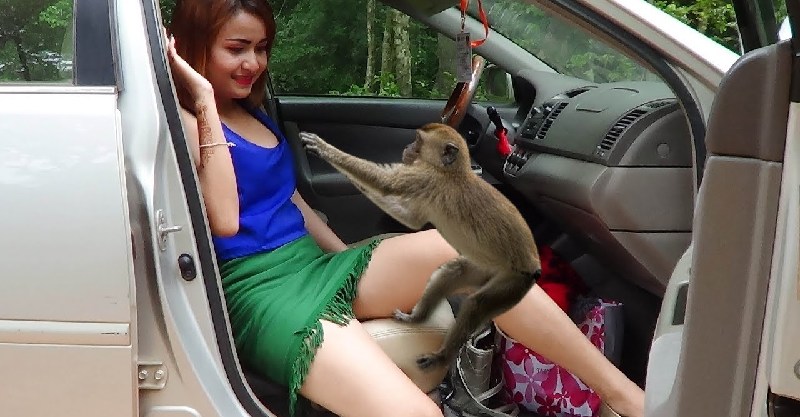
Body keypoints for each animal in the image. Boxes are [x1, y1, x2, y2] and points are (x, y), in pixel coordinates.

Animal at [299, 123, 541, 371]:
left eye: (418, 140)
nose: (407, 147)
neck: (451, 171)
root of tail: (535, 269)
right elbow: (411, 220)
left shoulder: (426, 178)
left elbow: (387, 184)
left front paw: (325, 149)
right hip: (486, 269)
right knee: (451, 273)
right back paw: (416, 319)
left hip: (513, 283)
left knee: (476, 305)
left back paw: (442, 356)